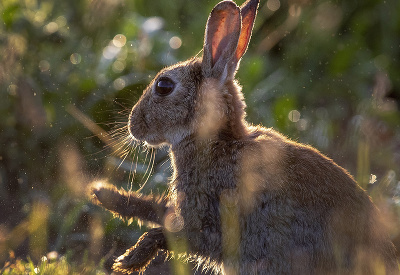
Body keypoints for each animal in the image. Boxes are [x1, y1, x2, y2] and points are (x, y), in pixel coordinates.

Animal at [91, 0, 400, 275]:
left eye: (164, 86)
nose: (133, 125)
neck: (217, 141)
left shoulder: (210, 222)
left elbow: (169, 234)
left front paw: (130, 260)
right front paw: (103, 194)